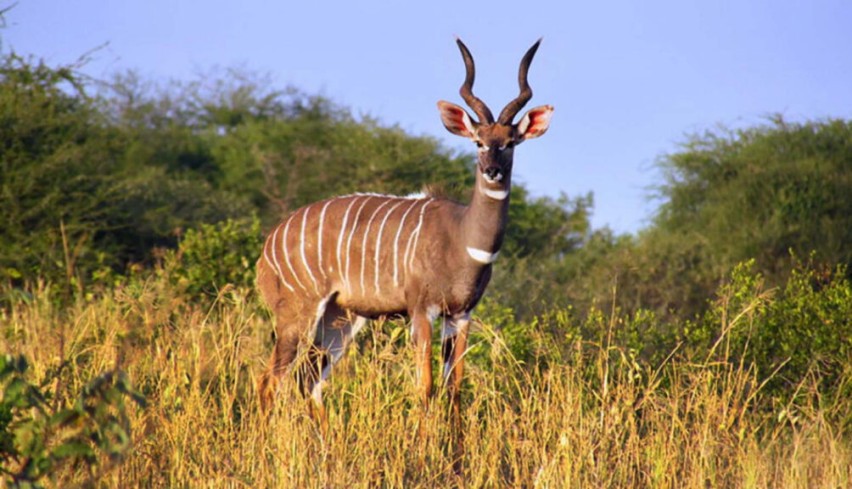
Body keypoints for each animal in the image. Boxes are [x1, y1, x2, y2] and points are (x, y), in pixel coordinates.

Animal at [256, 39, 553, 423]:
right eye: (478, 141)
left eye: (511, 142)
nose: (492, 171)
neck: (463, 239)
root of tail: (268, 247)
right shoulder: (421, 310)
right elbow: (424, 389)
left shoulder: (461, 315)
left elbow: (454, 391)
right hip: (297, 312)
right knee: (270, 381)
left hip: (340, 319)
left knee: (308, 381)